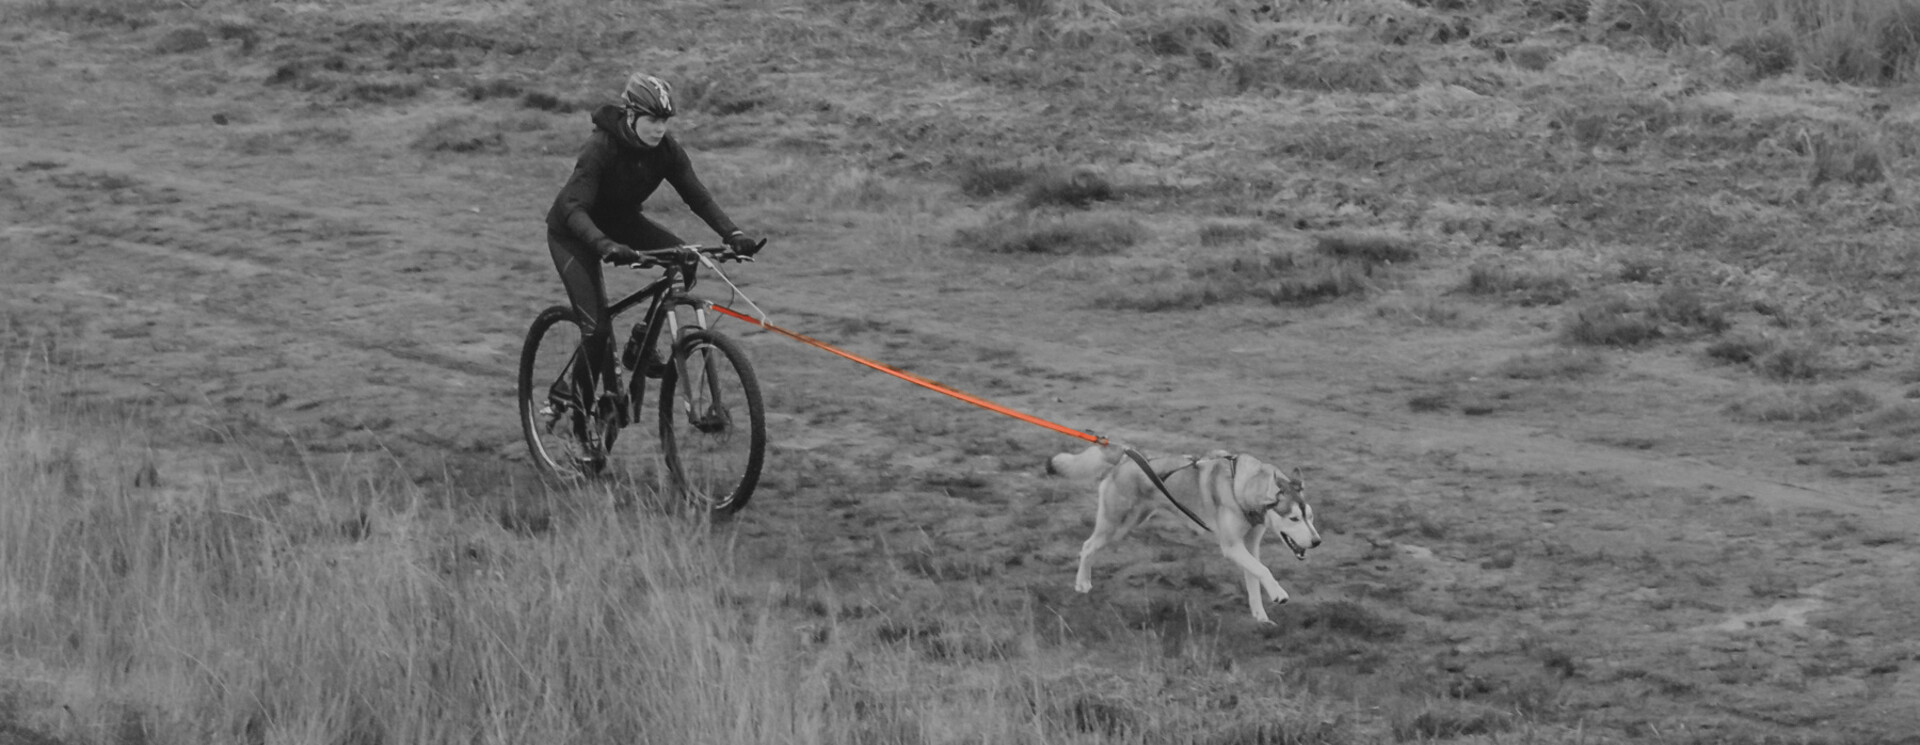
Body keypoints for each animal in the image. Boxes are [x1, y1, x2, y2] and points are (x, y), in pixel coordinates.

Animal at [1052, 441, 1320, 622]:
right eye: (1294, 518)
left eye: (1310, 516)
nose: (1317, 541)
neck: (1241, 486)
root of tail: (1126, 456)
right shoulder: (1232, 547)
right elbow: (1264, 571)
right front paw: (1279, 594)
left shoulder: (1250, 546)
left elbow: (1255, 578)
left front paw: (1261, 619)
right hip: (1115, 524)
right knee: (1087, 547)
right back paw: (1082, 583)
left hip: (1126, 524)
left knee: (1091, 548)